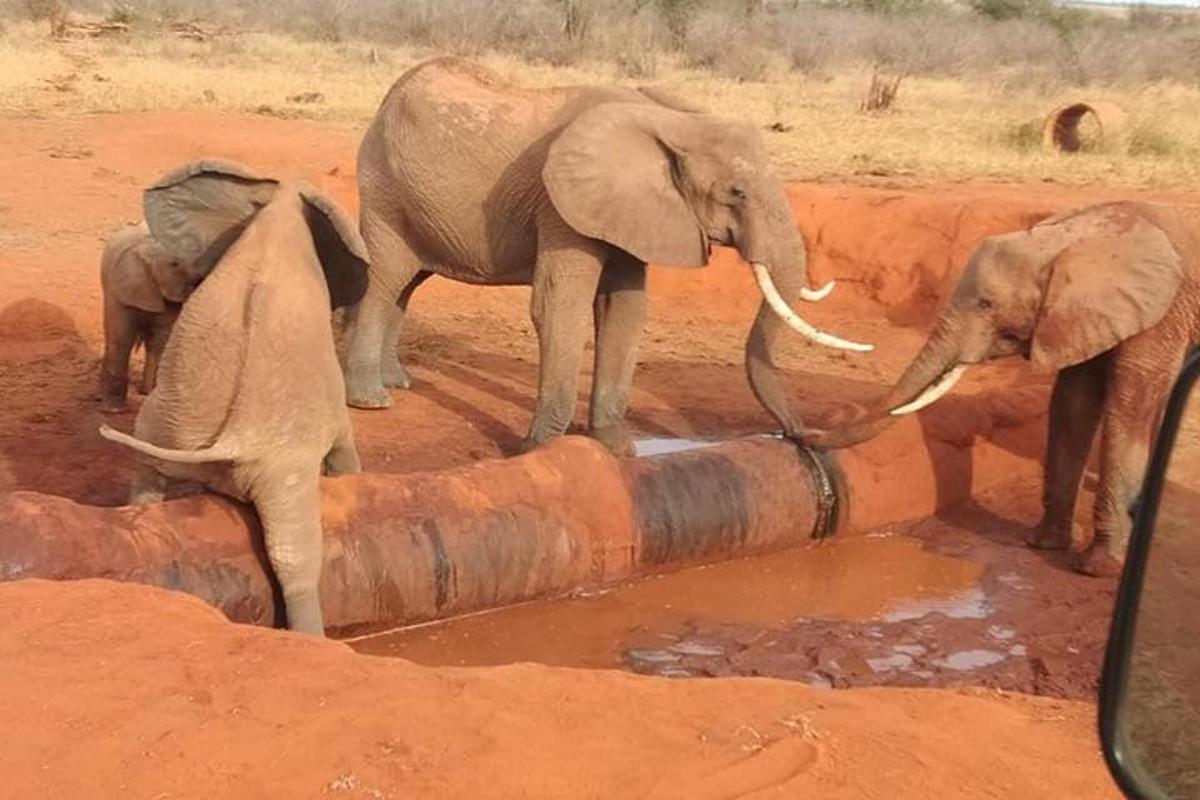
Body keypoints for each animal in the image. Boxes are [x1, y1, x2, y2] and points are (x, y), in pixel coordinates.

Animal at [98, 224, 206, 417]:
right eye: (174, 264)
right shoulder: (124, 288)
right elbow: (121, 339)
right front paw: (113, 410)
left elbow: (161, 341)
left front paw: (150, 397)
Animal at [343, 56, 868, 455]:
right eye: (736, 193)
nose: (800, 436)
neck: (672, 120)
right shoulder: (560, 205)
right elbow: (559, 305)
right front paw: (538, 448)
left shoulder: (629, 210)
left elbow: (625, 307)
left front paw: (616, 448)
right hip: (385, 187)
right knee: (387, 276)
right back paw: (371, 400)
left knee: (409, 283)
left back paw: (398, 382)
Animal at [806, 200, 1200, 575]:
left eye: (986, 304)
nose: (811, 430)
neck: (1070, 237)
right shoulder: (1078, 317)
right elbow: (1073, 401)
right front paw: (1042, 544)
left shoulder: (1163, 310)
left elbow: (1128, 406)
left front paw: (1094, 569)